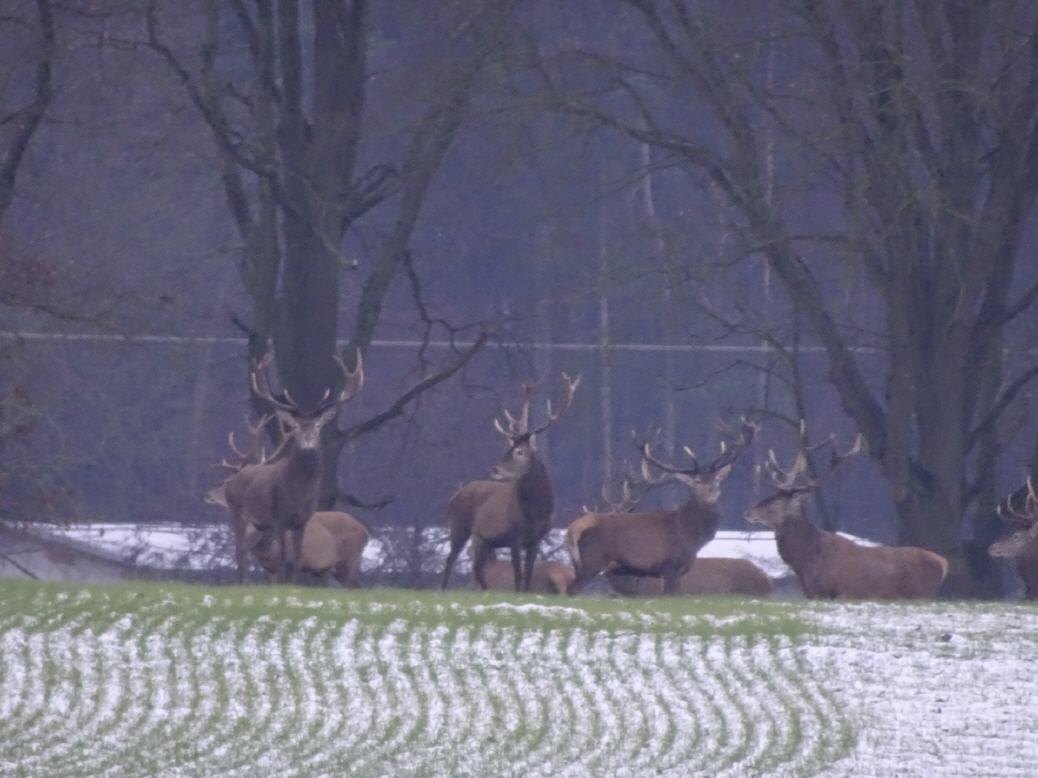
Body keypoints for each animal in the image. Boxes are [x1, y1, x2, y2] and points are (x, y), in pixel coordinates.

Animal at [221, 352, 363, 585]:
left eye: (318, 426)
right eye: (295, 427)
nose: (307, 445)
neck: (298, 494)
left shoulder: (302, 520)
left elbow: (295, 559)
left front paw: (293, 584)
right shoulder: (279, 517)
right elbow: (284, 559)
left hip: (260, 524)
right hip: (238, 513)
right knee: (240, 552)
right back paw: (240, 583)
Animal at [440, 375, 585, 593]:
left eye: (519, 451)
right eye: (508, 448)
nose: (494, 469)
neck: (537, 512)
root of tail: (454, 497)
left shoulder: (536, 540)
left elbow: (527, 576)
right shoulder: (514, 536)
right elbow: (518, 575)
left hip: (484, 539)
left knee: (477, 569)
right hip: (459, 526)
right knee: (450, 560)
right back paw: (442, 589)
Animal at [564, 423, 759, 593]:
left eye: (716, 479)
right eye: (697, 481)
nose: (713, 491)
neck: (691, 536)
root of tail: (572, 529)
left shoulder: (680, 571)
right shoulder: (669, 566)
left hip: (578, 563)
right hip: (593, 559)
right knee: (571, 589)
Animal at [747, 435, 950, 601]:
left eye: (776, 502)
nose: (748, 512)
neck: (805, 562)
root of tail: (943, 563)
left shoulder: (831, 592)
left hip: (920, 594)